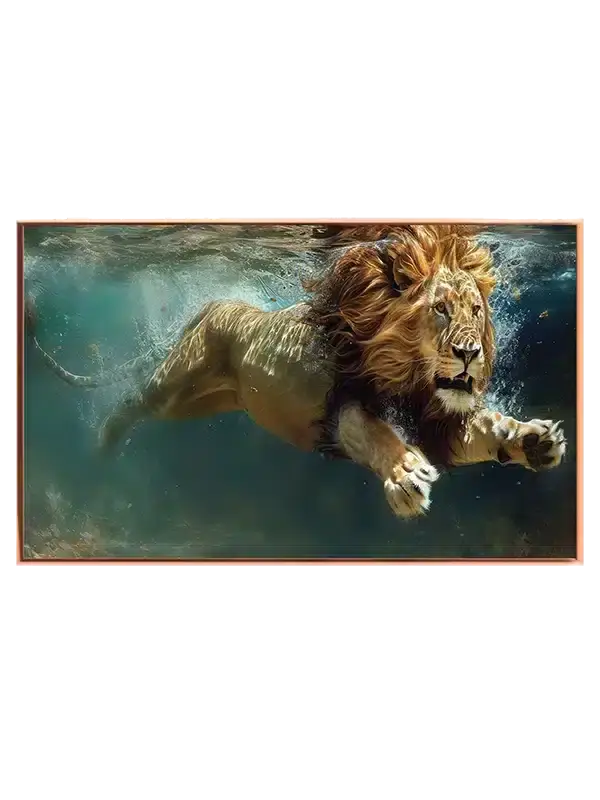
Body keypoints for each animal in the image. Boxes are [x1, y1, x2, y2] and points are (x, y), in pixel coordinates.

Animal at [25, 224, 567, 519]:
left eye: (475, 310)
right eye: (440, 310)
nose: (471, 353)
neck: (405, 369)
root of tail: (210, 307)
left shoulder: (438, 418)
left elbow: (484, 428)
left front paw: (533, 438)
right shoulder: (340, 404)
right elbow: (373, 432)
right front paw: (405, 474)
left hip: (202, 403)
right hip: (175, 385)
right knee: (132, 401)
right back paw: (102, 444)